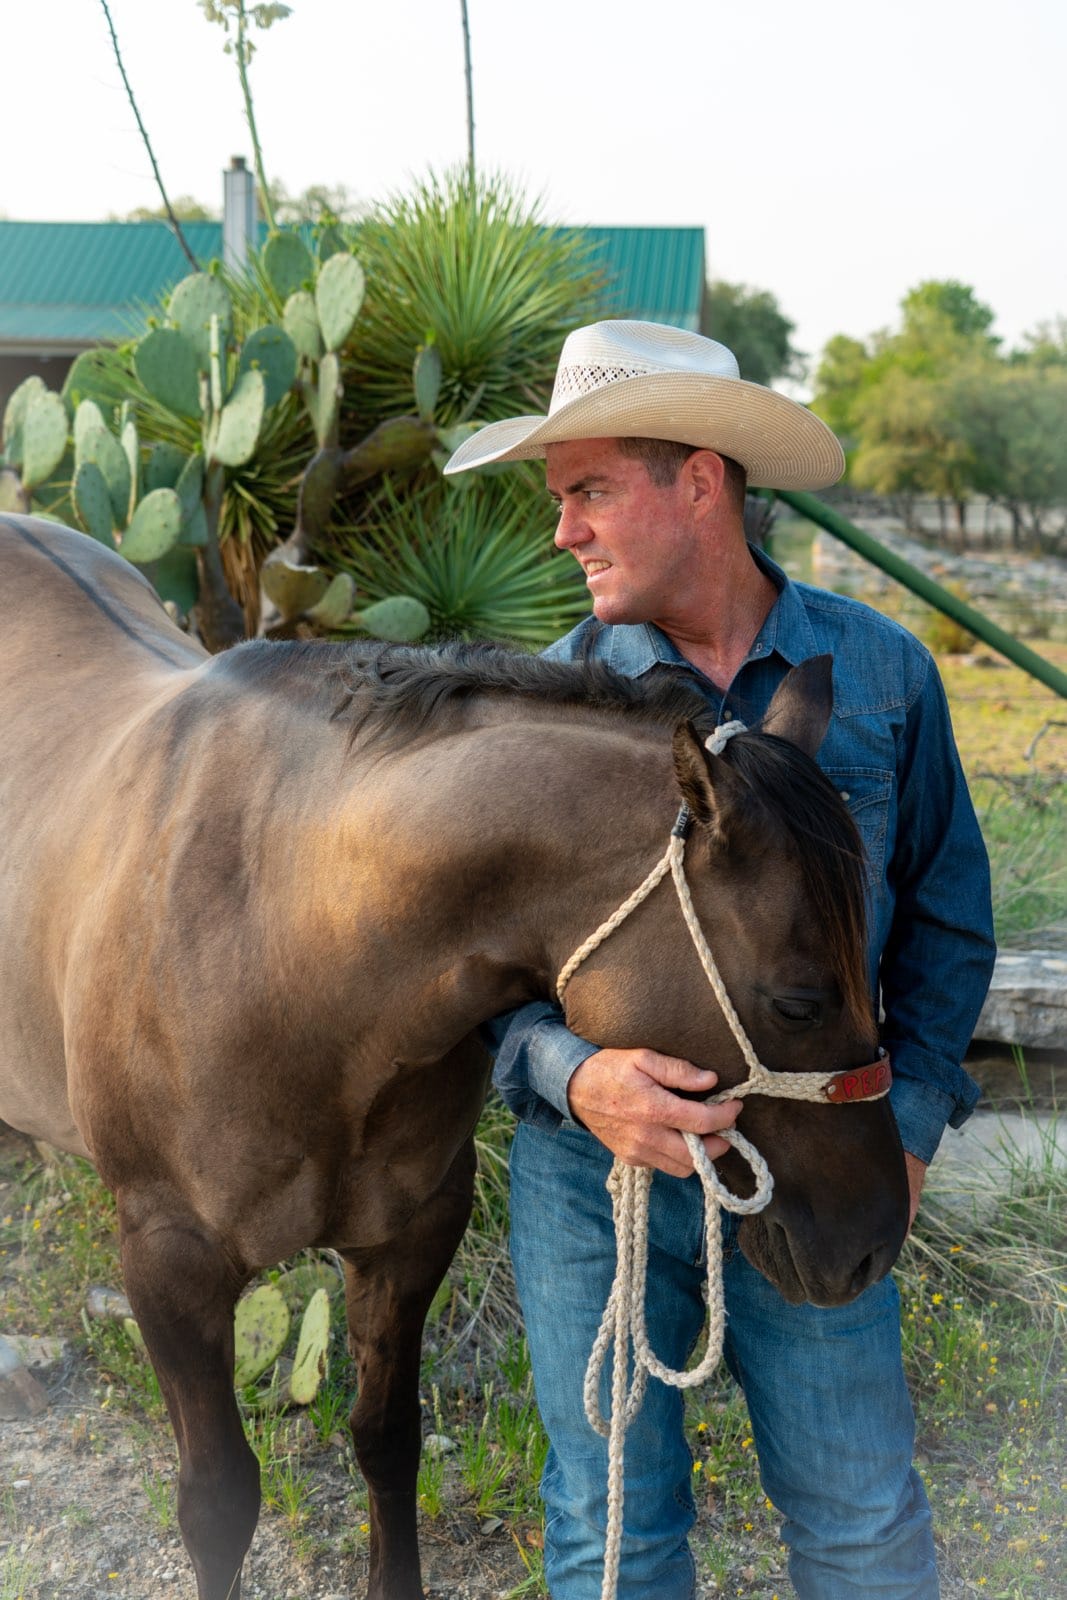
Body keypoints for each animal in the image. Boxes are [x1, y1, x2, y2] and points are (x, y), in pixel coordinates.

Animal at [0, 513, 909, 1600]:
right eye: (796, 999)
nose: (872, 1241)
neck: (292, 935)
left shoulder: (412, 1230)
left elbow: (384, 1441)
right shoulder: (167, 1261)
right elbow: (216, 1502)